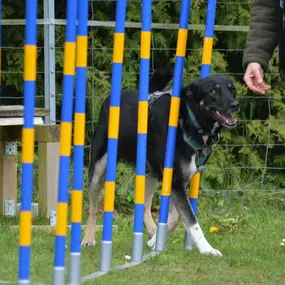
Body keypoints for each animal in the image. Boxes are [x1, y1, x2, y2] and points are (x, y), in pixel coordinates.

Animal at [81, 67, 239, 255]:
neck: (188, 122)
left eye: (232, 90)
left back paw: (152, 232)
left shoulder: (178, 182)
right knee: (92, 209)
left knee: (143, 206)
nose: (235, 105)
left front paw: (155, 240)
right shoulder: (176, 182)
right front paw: (207, 249)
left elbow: (176, 217)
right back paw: (88, 239)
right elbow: (191, 220)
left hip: (151, 174)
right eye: (214, 91)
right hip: (98, 169)